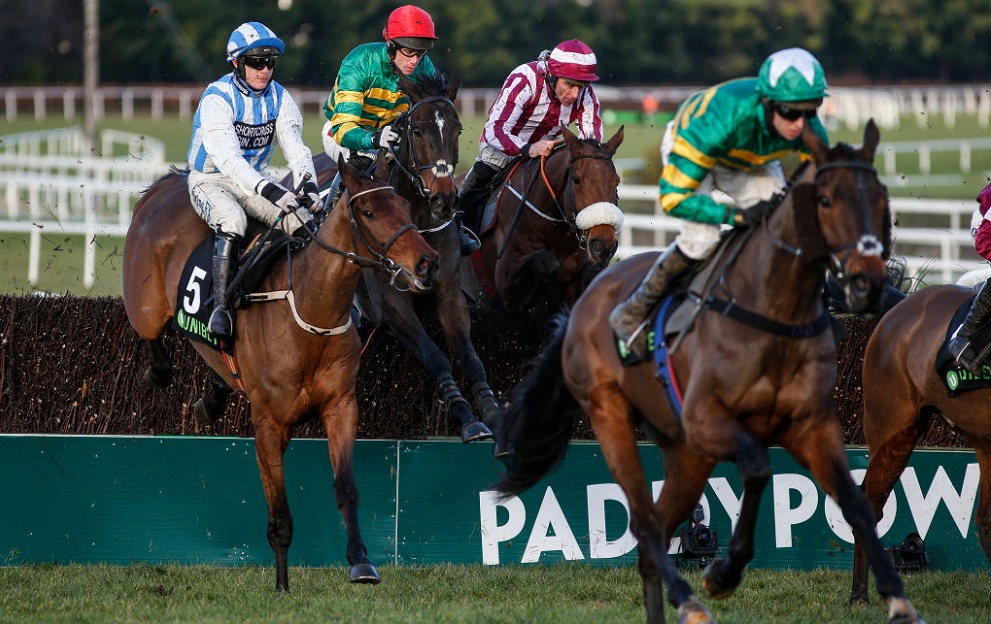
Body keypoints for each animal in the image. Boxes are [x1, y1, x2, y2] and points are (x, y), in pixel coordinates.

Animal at [122, 153, 440, 591]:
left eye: (405, 207)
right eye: (369, 212)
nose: (428, 263)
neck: (310, 311)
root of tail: (164, 184)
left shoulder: (341, 406)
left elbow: (346, 487)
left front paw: (361, 562)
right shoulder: (269, 424)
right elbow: (280, 514)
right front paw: (282, 585)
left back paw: (212, 398)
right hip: (146, 305)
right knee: (156, 346)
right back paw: (163, 371)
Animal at [315, 70, 499, 446]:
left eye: (458, 128)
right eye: (416, 131)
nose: (444, 198)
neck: (417, 220)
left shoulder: (449, 292)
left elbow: (470, 357)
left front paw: (491, 413)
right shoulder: (392, 304)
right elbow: (435, 356)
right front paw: (467, 419)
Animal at [494, 120, 925, 624]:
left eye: (880, 199)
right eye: (826, 200)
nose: (870, 279)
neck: (772, 307)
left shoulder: (811, 425)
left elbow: (857, 503)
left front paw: (894, 597)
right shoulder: (708, 420)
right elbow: (757, 467)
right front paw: (724, 571)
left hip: (683, 450)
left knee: (658, 530)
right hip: (613, 416)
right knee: (645, 522)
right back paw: (689, 601)